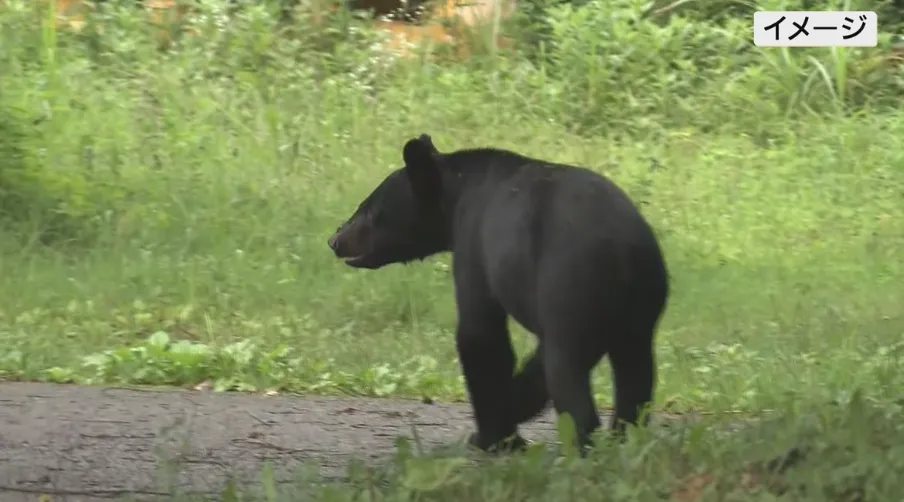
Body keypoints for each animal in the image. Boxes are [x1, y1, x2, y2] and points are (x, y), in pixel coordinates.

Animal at [327, 134, 670, 454]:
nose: (335, 239)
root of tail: (622, 252)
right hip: (640, 309)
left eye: (368, 208)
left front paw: (492, 435)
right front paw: (511, 412)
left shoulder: (474, 243)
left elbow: (480, 335)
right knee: (635, 377)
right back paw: (625, 442)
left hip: (571, 286)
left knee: (567, 374)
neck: (459, 190)